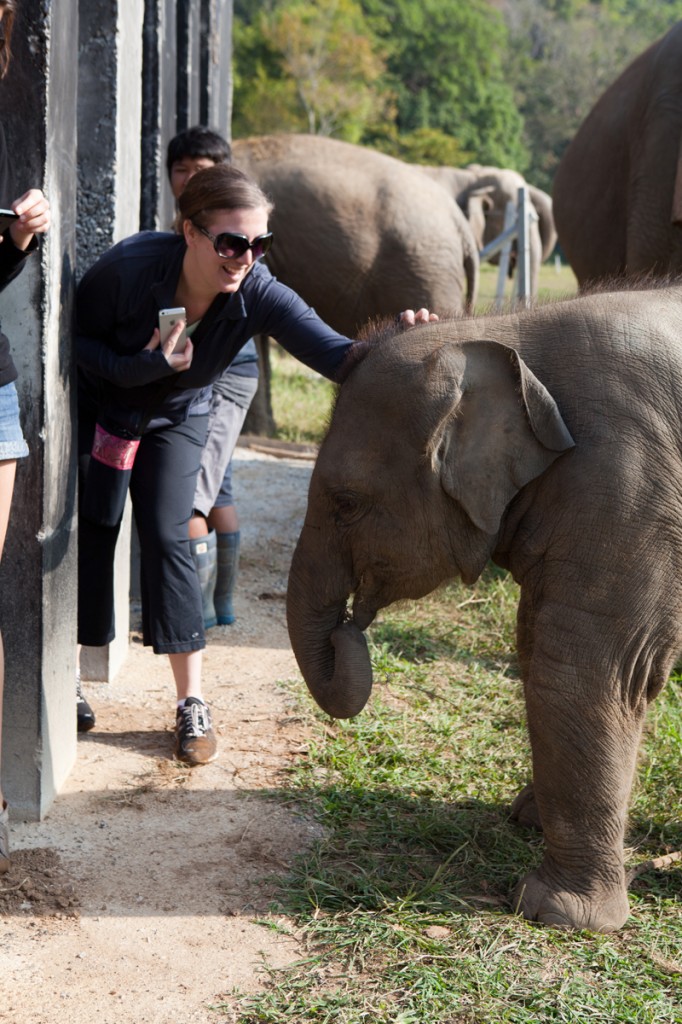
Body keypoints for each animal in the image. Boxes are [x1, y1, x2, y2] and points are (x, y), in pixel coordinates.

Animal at [284, 280, 679, 937]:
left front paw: (558, 914)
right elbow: (534, 639)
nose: (349, 627)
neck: (505, 335)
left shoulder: (630, 488)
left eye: (346, 503)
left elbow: (586, 669)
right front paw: (526, 817)